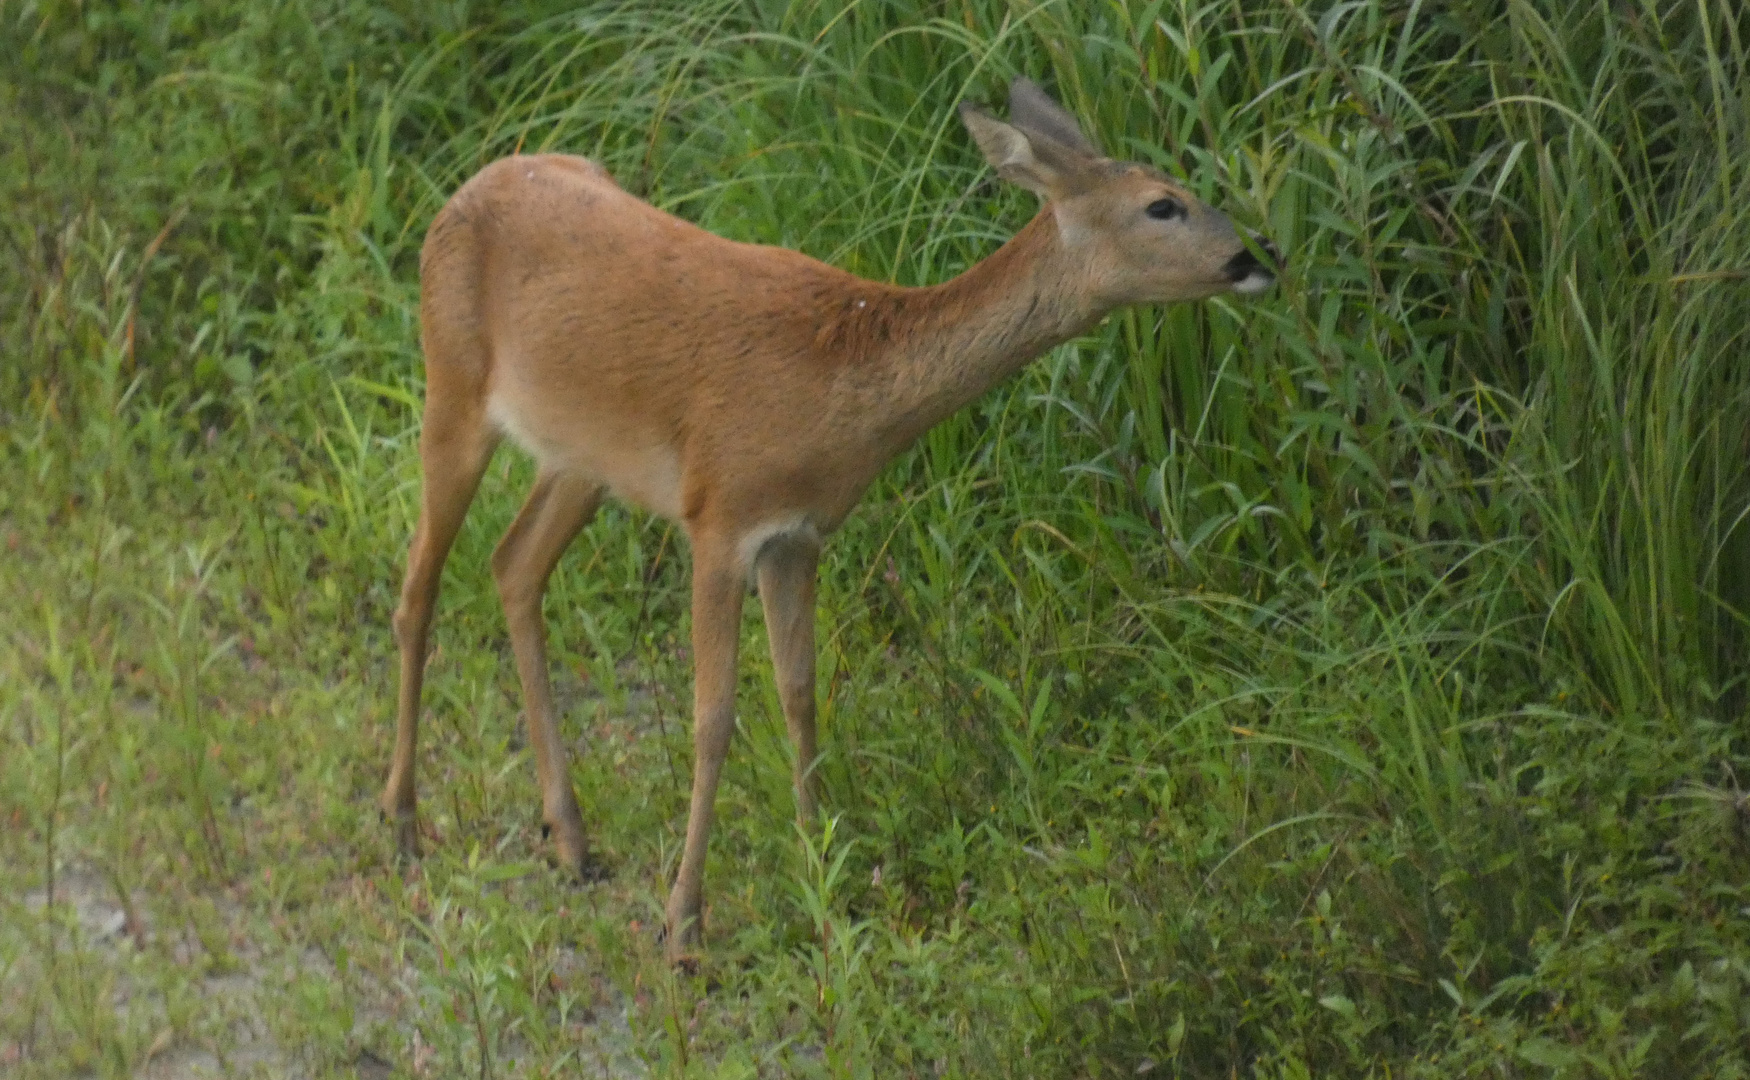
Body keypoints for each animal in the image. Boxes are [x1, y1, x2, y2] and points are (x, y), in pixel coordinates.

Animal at [383, 80, 1281, 966]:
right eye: (1163, 204)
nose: (1257, 258)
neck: (839, 382)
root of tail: (464, 189)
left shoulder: (797, 534)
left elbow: (800, 693)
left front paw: (823, 873)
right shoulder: (718, 516)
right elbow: (713, 720)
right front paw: (684, 925)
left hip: (582, 459)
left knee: (512, 564)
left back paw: (569, 838)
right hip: (450, 382)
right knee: (419, 583)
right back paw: (402, 821)